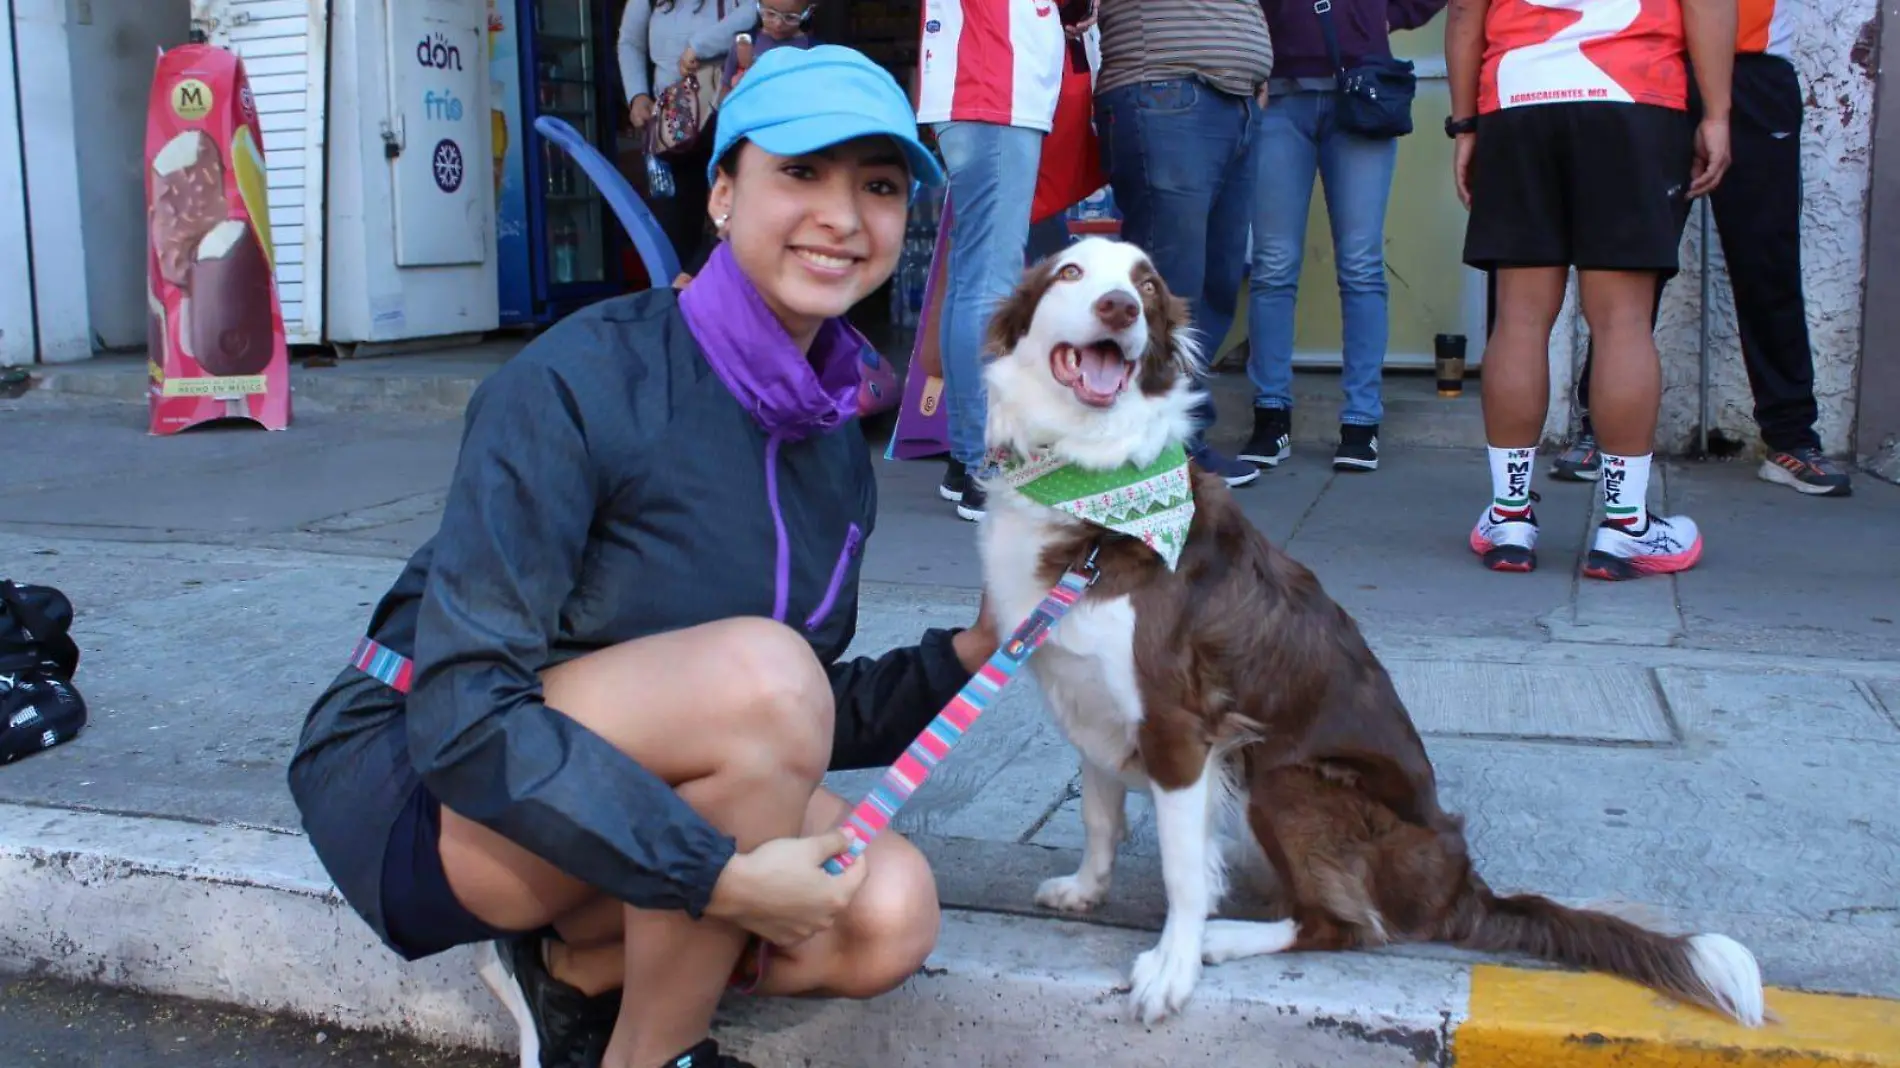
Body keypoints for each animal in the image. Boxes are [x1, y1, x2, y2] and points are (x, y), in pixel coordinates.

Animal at [980, 239, 1763, 1026]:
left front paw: (1173, 966)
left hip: (1285, 777)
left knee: (1350, 924)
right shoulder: (1090, 700)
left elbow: (1183, 872)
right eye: (1071, 273)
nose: (1119, 308)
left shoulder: (1181, 725)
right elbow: (1099, 815)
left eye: (1145, 285)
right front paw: (1086, 890)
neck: (1096, 494)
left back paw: (1227, 939)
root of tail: (1462, 886)